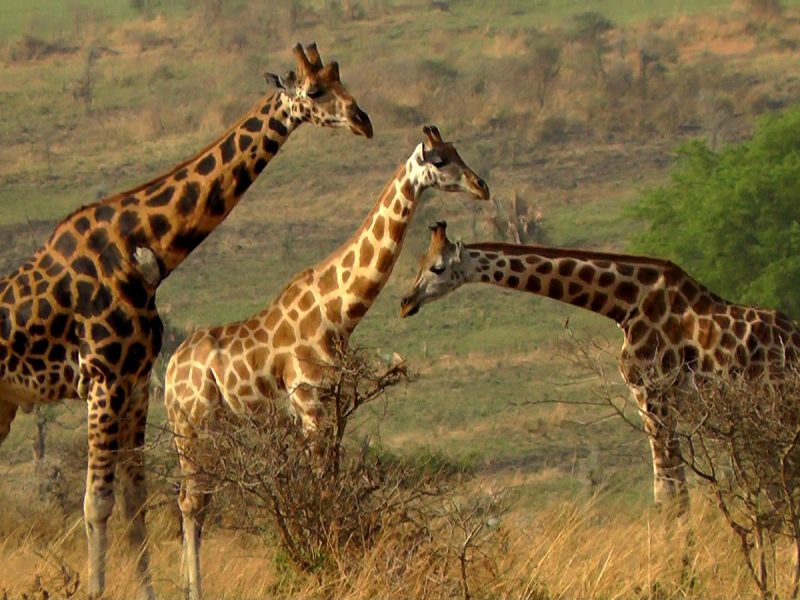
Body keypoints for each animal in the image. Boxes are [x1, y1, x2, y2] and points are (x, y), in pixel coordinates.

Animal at [0, 43, 374, 600]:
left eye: (341, 80)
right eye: (314, 91)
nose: (362, 120)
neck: (147, 246)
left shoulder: (133, 381)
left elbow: (134, 502)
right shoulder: (102, 379)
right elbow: (97, 504)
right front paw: (96, 590)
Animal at [162, 126, 488, 600]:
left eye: (458, 150)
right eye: (441, 160)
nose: (482, 186)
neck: (337, 313)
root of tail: (170, 370)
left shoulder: (336, 400)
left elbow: (332, 478)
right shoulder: (308, 398)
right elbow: (320, 483)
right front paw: (326, 563)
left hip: (209, 426)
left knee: (195, 500)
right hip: (192, 423)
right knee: (191, 499)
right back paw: (193, 590)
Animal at [404, 223, 800, 512]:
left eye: (438, 267)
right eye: (419, 262)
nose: (406, 301)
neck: (625, 303)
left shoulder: (654, 395)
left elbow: (669, 495)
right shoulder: (654, 400)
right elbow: (672, 492)